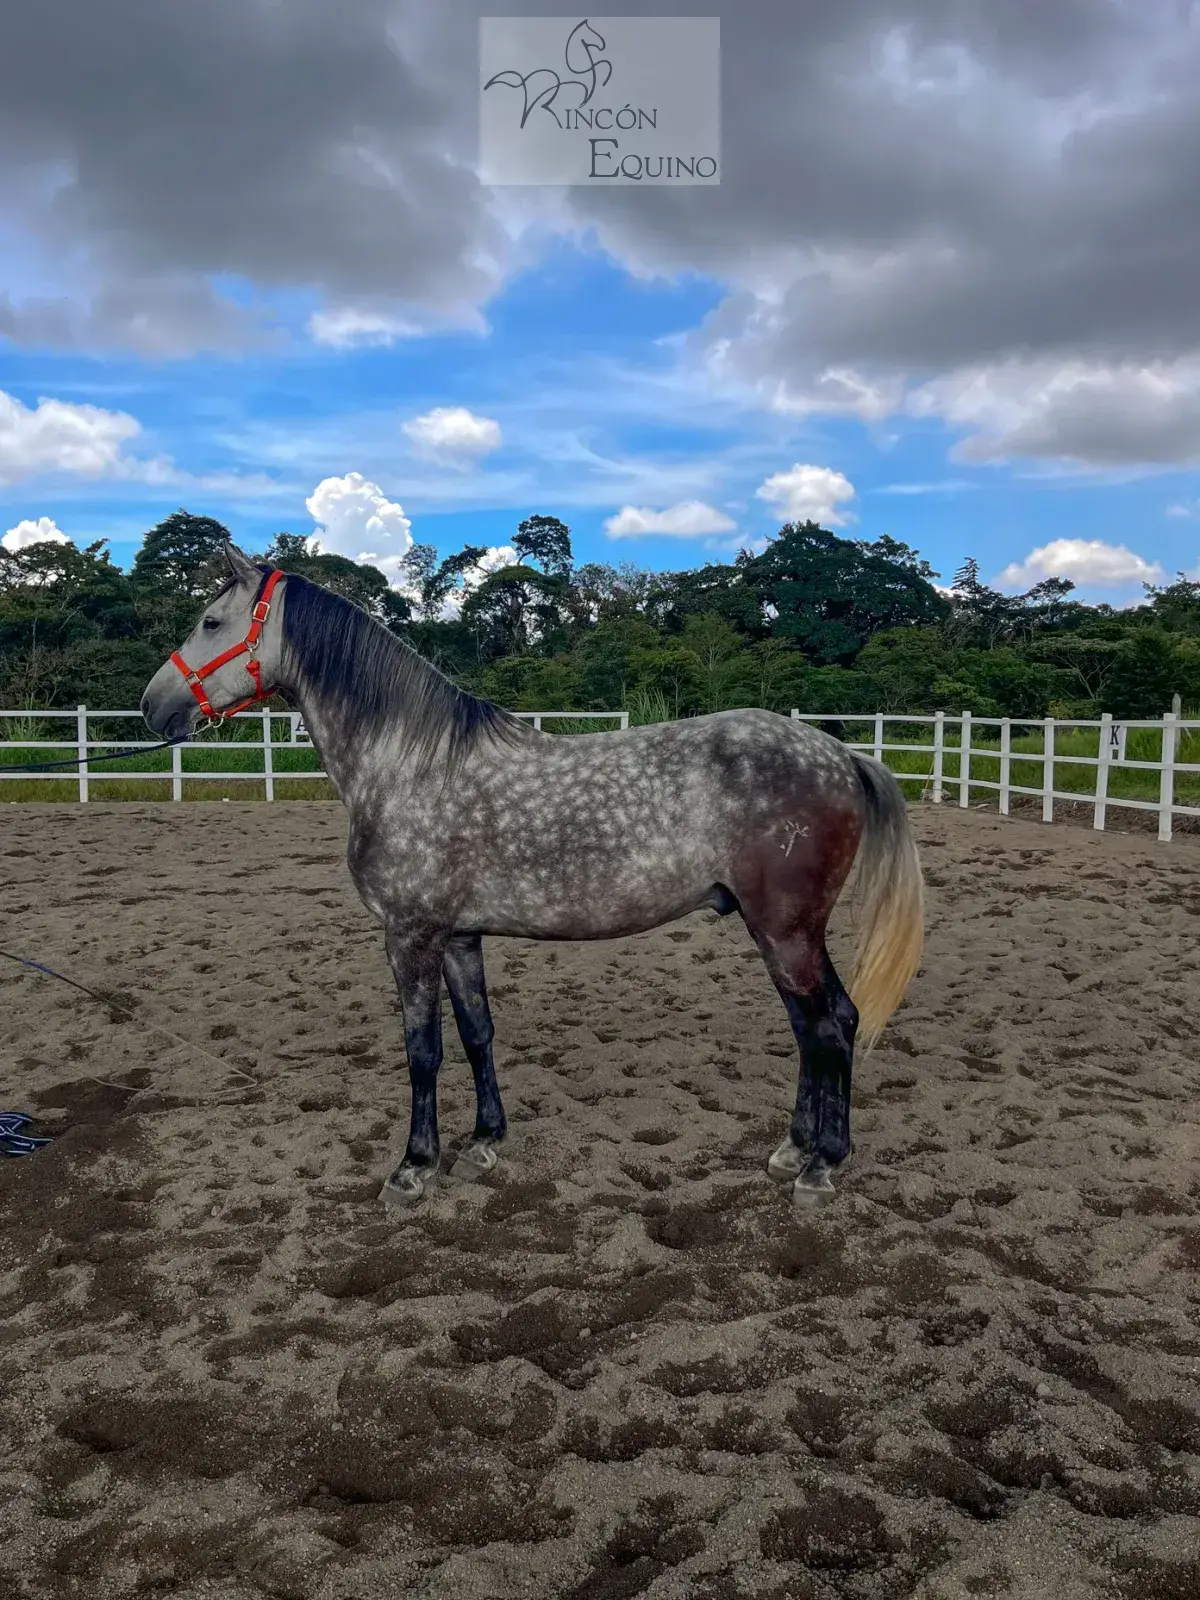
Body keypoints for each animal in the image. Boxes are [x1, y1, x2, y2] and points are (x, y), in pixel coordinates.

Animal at [140, 543, 924, 1211]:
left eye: (211, 621)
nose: (154, 706)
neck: (407, 764)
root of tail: (840, 754)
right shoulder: (459, 936)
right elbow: (477, 1032)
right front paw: (484, 1143)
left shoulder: (410, 936)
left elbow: (422, 1050)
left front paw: (412, 1168)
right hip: (779, 933)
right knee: (814, 1026)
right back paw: (793, 1151)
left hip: (786, 931)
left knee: (831, 1026)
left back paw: (822, 1166)